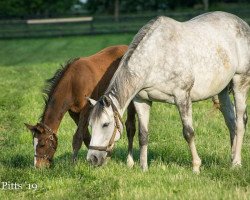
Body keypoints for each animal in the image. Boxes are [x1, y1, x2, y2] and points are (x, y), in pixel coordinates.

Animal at [87, 11, 249, 173]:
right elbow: (143, 135)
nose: (92, 158)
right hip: (222, 90)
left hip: (240, 82)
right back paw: (232, 158)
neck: (155, 56)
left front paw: (196, 166)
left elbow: (188, 132)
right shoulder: (141, 100)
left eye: (105, 124)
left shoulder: (182, 97)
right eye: (90, 125)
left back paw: (236, 163)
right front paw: (143, 167)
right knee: (231, 122)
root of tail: (242, 23)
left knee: (240, 122)